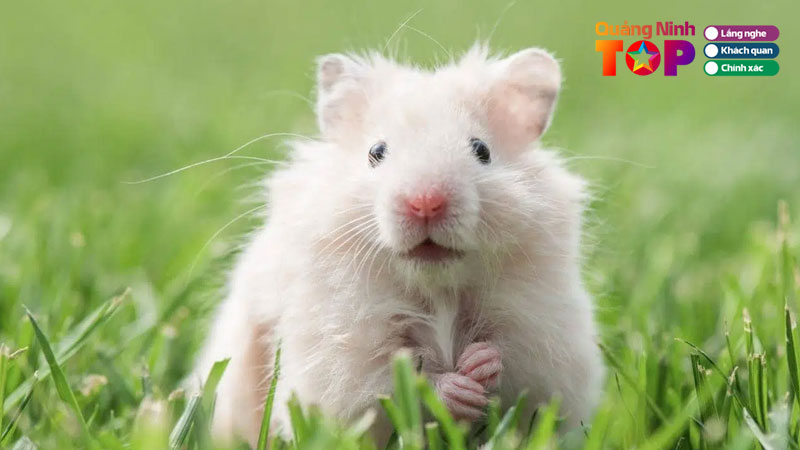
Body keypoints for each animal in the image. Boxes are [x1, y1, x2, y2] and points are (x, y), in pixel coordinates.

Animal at [191, 44, 605, 446]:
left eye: (482, 150)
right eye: (376, 152)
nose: (426, 202)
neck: (437, 287)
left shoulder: (544, 339)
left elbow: (514, 362)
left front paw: (479, 363)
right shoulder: (342, 357)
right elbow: (394, 382)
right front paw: (458, 389)